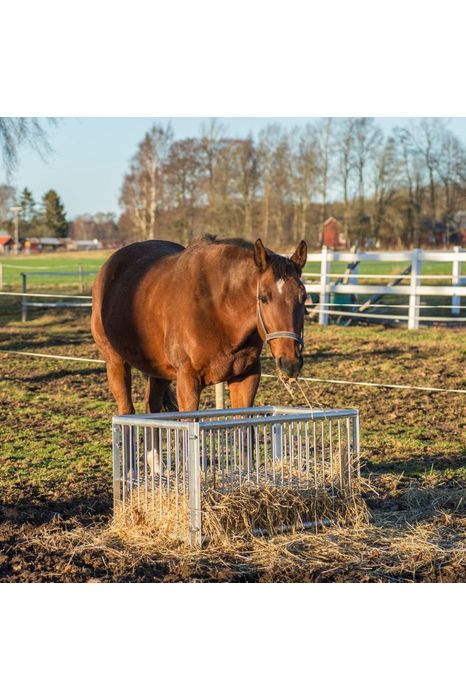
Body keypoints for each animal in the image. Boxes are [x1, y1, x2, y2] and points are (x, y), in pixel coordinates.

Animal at [92, 237, 308, 410]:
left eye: (303, 297)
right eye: (263, 298)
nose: (290, 363)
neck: (218, 311)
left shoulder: (246, 377)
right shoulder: (188, 382)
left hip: (158, 371)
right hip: (115, 362)